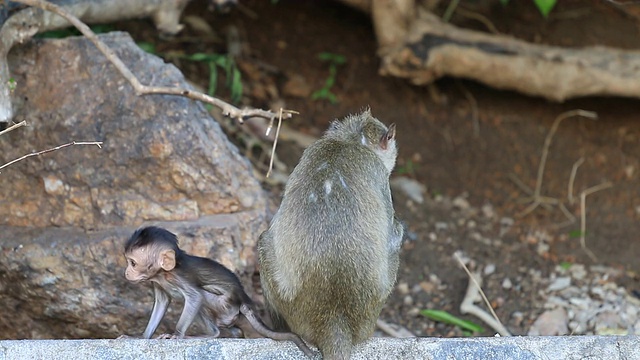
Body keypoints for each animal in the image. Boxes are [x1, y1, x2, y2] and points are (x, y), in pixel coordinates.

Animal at [122, 226, 312, 356]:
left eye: (132, 263)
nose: (126, 272)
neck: (164, 273)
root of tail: (244, 300)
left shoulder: (179, 277)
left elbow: (195, 296)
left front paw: (176, 335)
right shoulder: (158, 283)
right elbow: (162, 303)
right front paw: (141, 337)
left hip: (224, 305)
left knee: (201, 297)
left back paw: (211, 334)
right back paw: (236, 334)